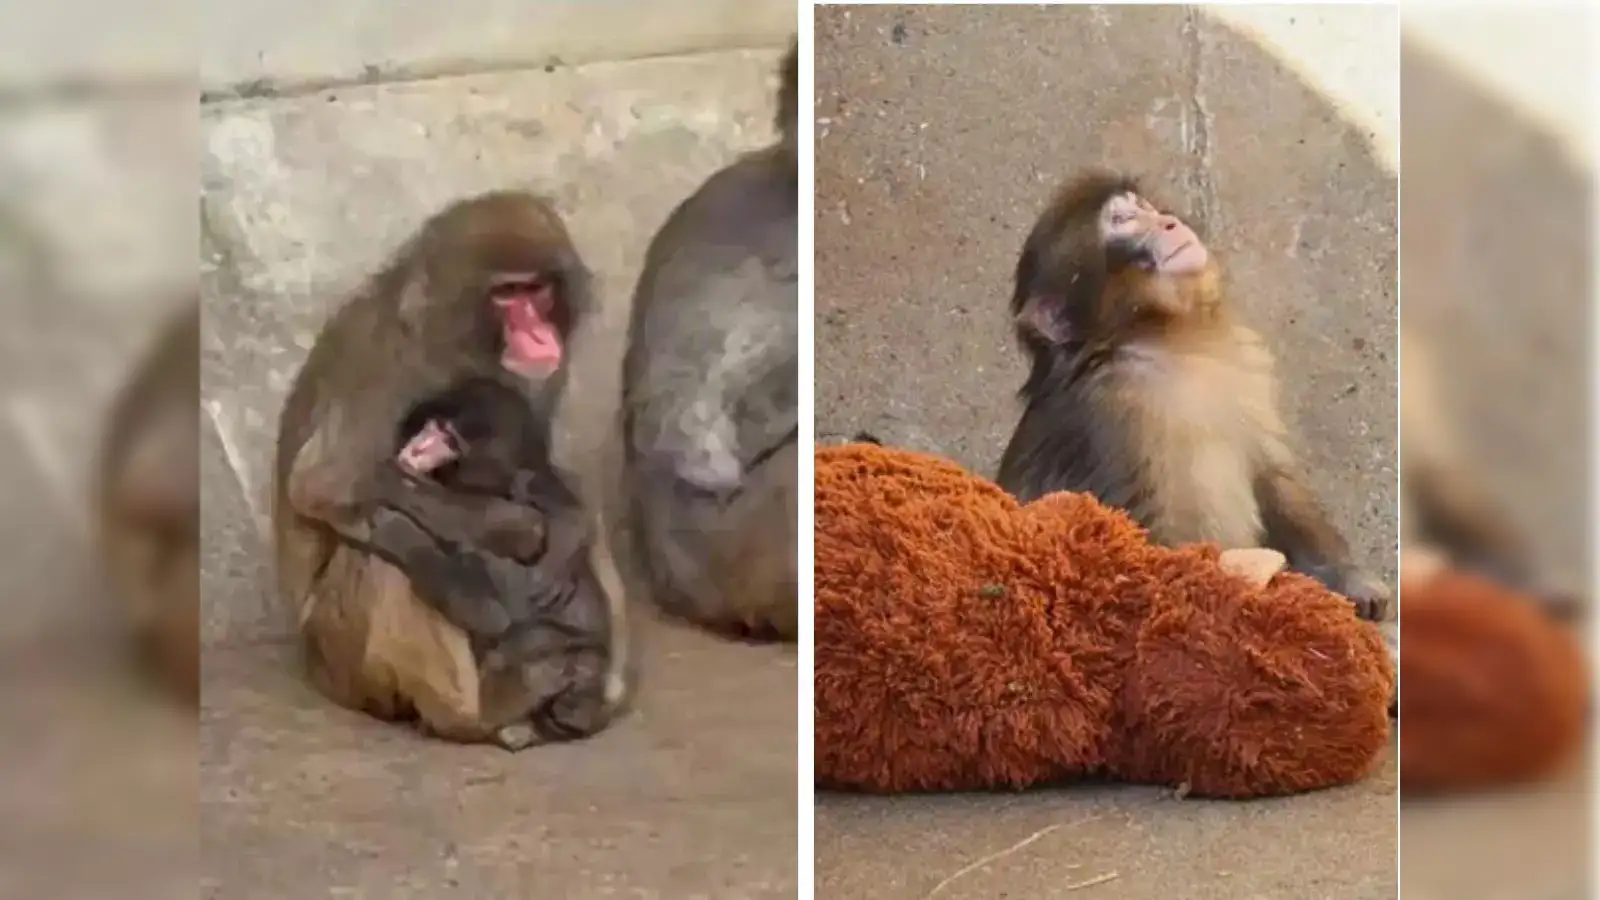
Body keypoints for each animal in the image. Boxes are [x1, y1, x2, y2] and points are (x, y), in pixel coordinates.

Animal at [273, 190, 628, 748]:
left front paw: (564, 528)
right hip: (339, 656)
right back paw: (476, 713)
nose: (539, 334)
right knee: (381, 550)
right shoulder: (390, 366)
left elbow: (545, 470)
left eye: (538, 290)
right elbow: (326, 484)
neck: (451, 341)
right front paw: (512, 525)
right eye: (506, 295)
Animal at [994, 172, 1391, 622]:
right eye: (1123, 220)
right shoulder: (1117, 417)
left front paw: (1349, 579)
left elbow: (1273, 477)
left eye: (1145, 208)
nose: (1169, 222)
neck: (1164, 339)